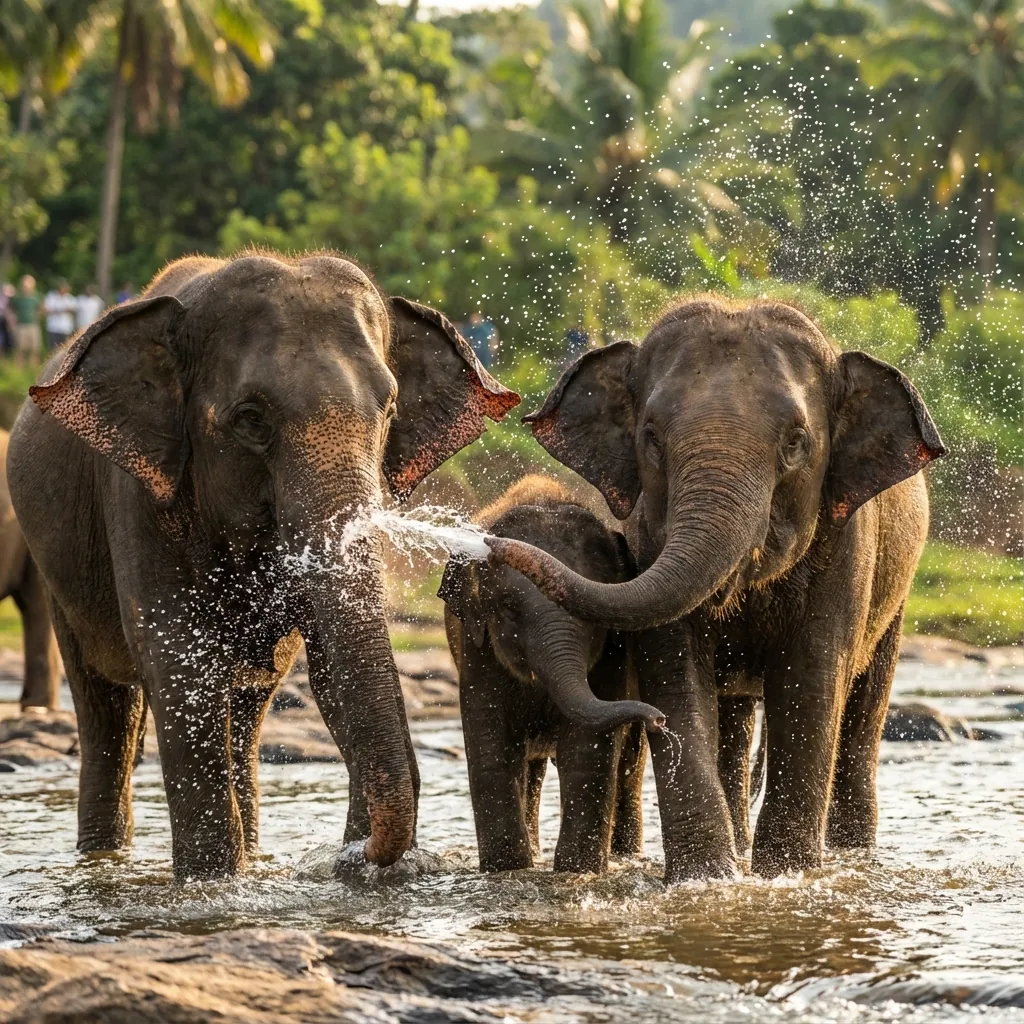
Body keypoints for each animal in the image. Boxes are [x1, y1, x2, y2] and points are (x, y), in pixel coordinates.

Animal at [7, 252, 519, 880]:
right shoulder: (137, 492)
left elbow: (327, 666)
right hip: (58, 565)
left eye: (390, 409)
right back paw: (107, 856)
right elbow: (178, 661)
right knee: (107, 707)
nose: (362, 853)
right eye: (251, 418)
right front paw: (212, 883)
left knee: (246, 709)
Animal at [439, 475, 664, 873]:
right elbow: (490, 740)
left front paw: (578, 869)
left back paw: (625, 856)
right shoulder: (477, 648)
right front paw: (508, 869)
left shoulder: (614, 652)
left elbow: (588, 745)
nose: (659, 719)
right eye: (508, 608)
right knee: (531, 768)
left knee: (628, 763)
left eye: (593, 610)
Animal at [486, 297, 945, 880]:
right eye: (651, 437)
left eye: (796, 442)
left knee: (864, 706)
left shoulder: (848, 544)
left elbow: (811, 674)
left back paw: (852, 853)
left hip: (898, 588)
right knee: (734, 719)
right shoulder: (645, 538)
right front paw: (706, 880)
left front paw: (786, 876)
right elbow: (674, 669)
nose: (491, 544)